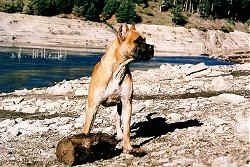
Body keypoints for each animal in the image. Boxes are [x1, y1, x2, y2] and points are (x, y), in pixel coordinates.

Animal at [83, 24, 153, 153]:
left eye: (145, 40)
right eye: (138, 41)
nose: (152, 46)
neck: (119, 68)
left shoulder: (126, 102)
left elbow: (127, 128)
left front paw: (128, 147)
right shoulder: (93, 106)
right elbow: (87, 128)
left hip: (119, 105)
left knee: (117, 118)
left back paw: (120, 135)